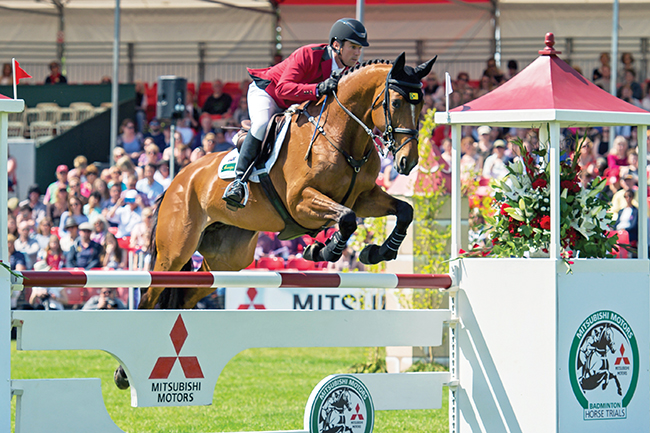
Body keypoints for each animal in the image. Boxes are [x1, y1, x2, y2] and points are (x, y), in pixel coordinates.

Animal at [139, 52, 432, 310]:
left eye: (421, 104)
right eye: (396, 103)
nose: (408, 161)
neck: (340, 136)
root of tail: (177, 180)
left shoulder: (364, 198)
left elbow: (404, 210)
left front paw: (377, 252)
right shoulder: (300, 201)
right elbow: (347, 219)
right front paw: (323, 251)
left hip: (228, 257)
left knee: (187, 294)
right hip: (175, 250)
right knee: (150, 295)